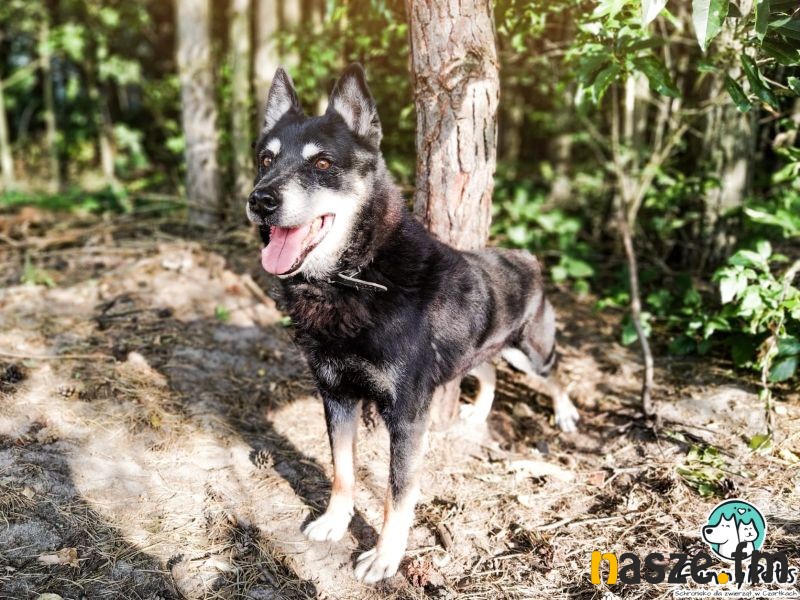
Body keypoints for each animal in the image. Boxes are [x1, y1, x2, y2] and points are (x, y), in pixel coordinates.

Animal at [246, 64, 579, 583]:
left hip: (531, 353)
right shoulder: (336, 395)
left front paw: (385, 557)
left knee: (556, 374)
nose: (259, 201)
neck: (356, 275)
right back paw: (477, 414)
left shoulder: (406, 415)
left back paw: (564, 414)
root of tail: (526, 259)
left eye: (322, 163)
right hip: (485, 348)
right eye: (265, 158)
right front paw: (335, 521)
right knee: (487, 370)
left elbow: (397, 494)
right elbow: (342, 468)